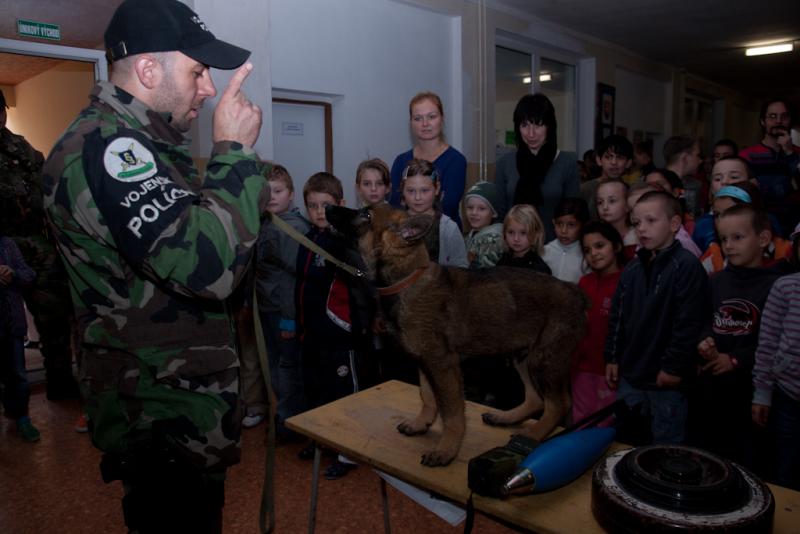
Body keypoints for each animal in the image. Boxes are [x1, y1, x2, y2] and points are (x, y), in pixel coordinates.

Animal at [326, 203, 588, 466]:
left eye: (366, 215)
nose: (326, 207)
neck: (407, 280)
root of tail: (575, 292)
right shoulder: (424, 361)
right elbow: (427, 396)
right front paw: (421, 423)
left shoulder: (443, 364)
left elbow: (451, 413)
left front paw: (447, 449)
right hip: (522, 355)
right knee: (536, 399)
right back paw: (507, 418)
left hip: (543, 360)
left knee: (558, 404)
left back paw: (532, 436)